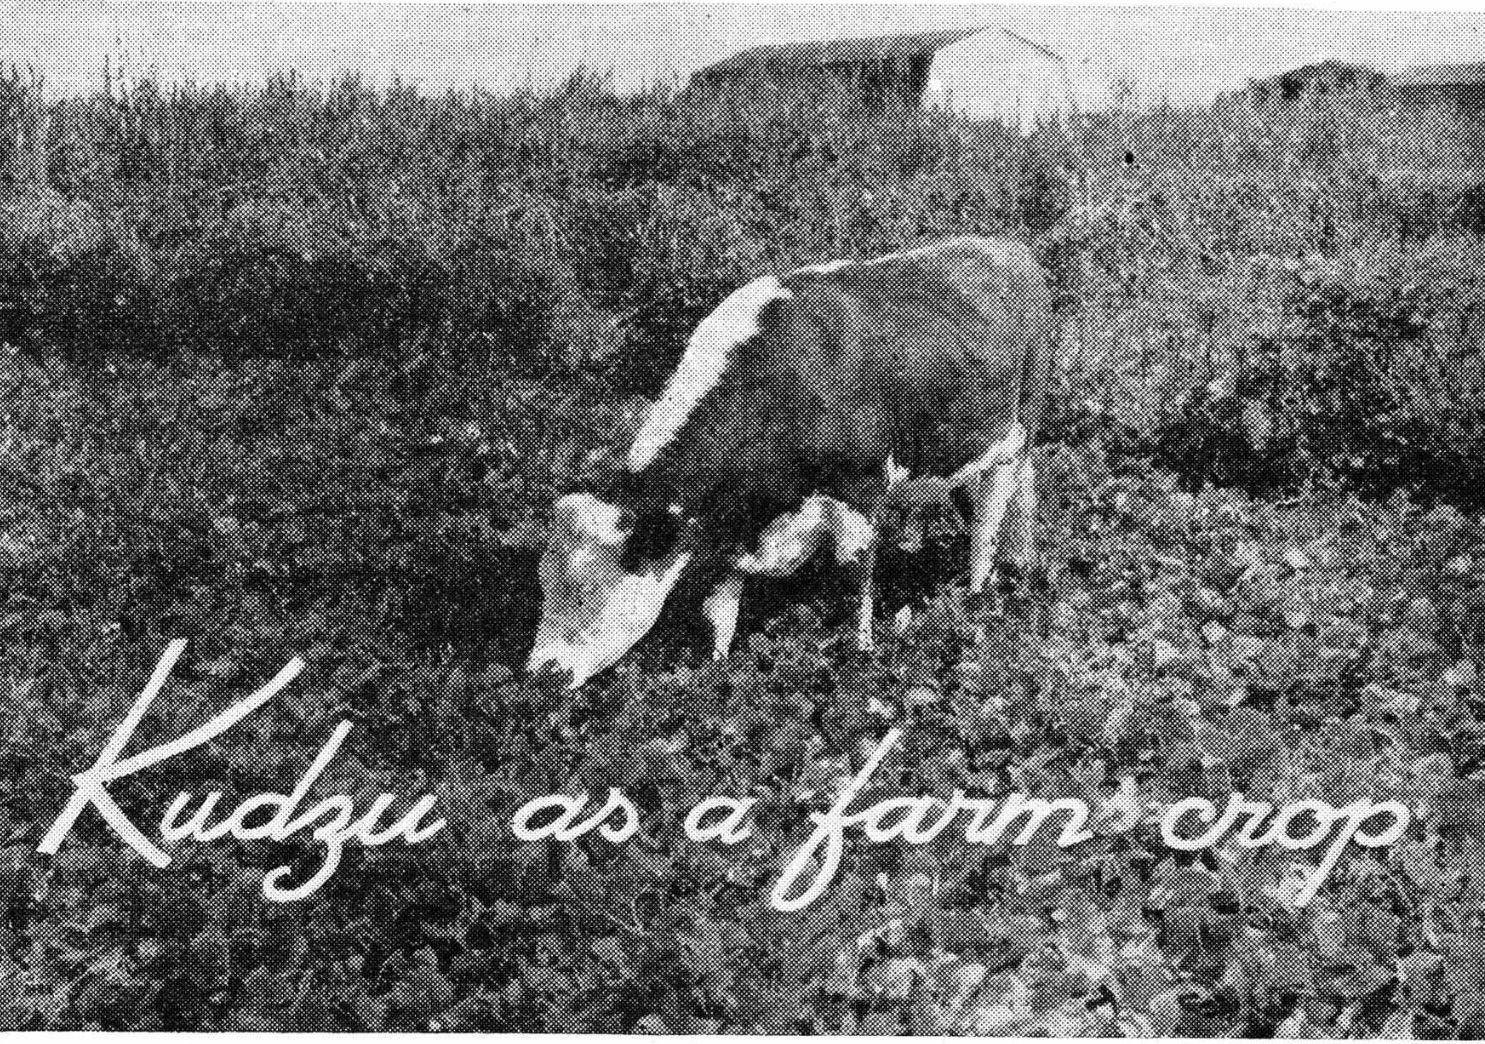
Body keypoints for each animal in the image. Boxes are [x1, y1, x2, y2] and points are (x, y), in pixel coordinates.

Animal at [522, 240, 1057, 689]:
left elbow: (854, 578)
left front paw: (860, 654)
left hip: (1014, 436)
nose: (540, 675)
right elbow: (721, 607)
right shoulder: (729, 520)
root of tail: (1009, 248)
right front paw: (715, 672)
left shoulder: (859, 489)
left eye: (588, 590)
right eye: (543, 583)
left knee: (988, 522)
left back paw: (976, 596)